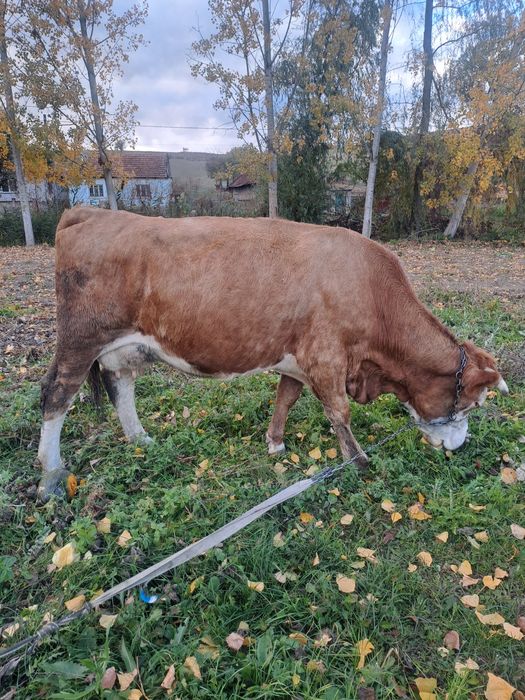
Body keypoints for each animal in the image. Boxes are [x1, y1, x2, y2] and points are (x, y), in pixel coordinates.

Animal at [37, 207, 509, 501]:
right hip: (79, 340)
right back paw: (52, 475)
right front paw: (358, 463)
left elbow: (286, 397)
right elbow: (339, 412)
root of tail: (92, 212)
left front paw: (275, 443)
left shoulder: (298, 359)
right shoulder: (326, 358)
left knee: (121, 386)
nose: (461, 445)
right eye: (470, 404)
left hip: (121, 345)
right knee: (56, 395)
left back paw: (140, 439)